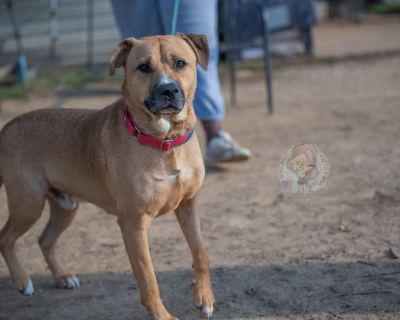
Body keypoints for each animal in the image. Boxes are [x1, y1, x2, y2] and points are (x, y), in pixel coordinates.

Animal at [0, 33, 214, 320]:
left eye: (180, 63)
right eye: (143, 67)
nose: (169, 90)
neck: (164, 141)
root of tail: (7, 126)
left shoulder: (189, 205)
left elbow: (200, 252)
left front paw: (203, 297)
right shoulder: (133, 225)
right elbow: (149, 278)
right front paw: (162, 315)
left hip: (66, 207)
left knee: (45, 240)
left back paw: (63, 277)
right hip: (28, 204)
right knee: (6, 239)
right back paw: (23, 282)